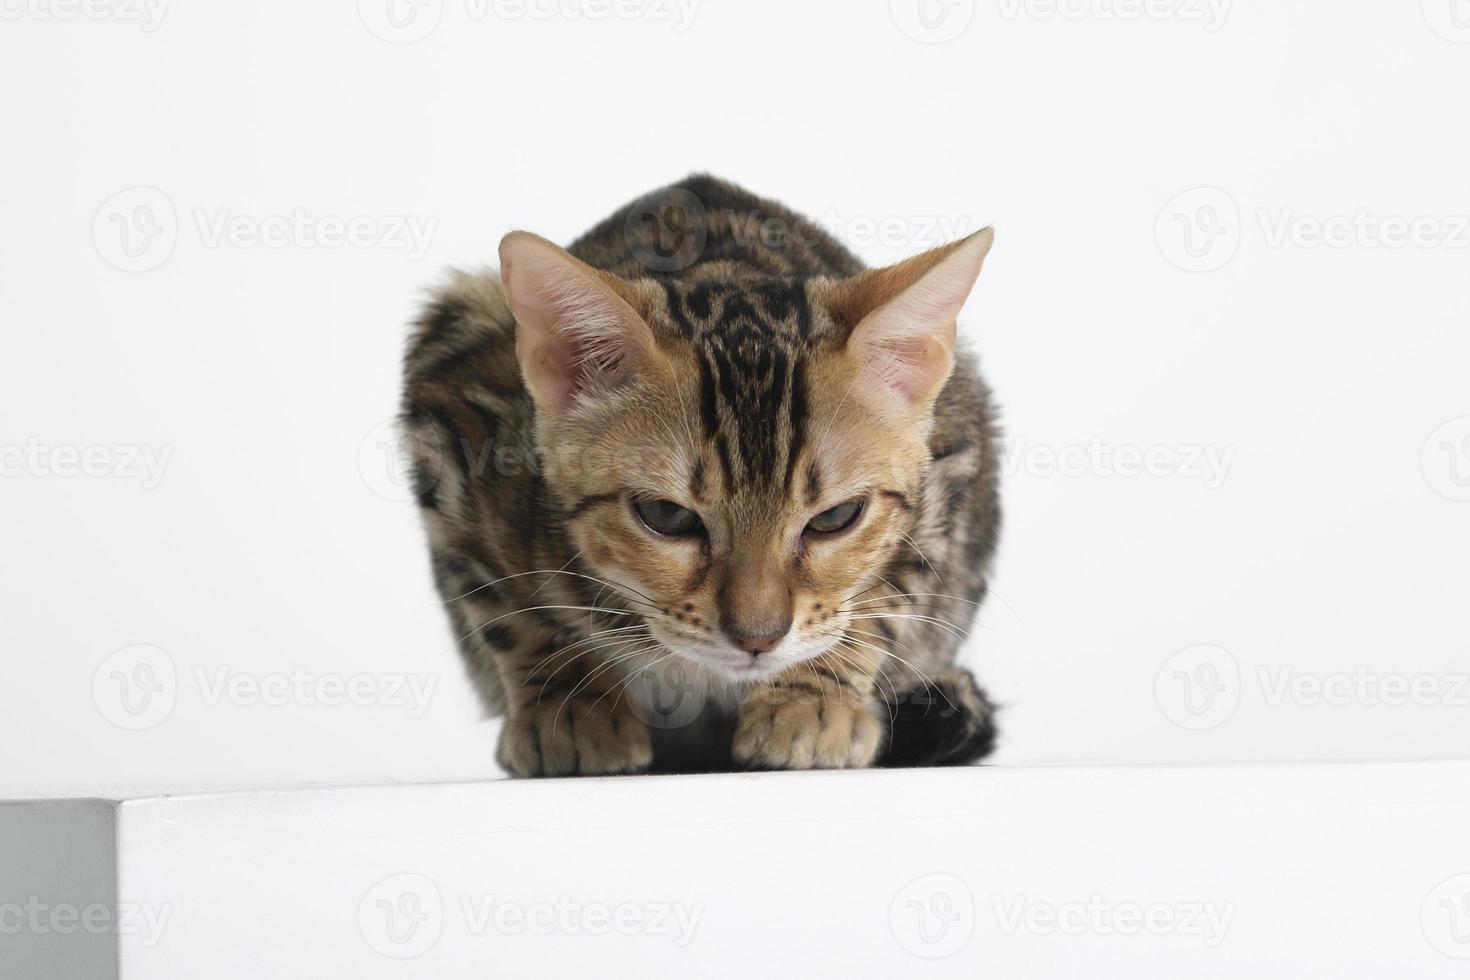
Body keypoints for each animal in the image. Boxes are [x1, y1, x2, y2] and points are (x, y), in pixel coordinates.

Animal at [399, 174, 999, 775]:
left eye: (836, 517)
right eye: (666, 515)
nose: (758, 639)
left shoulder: (951, 455)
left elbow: (887, 595)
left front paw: (811, 698)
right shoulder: (452, 418)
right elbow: (507, 613)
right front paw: (569, 707)